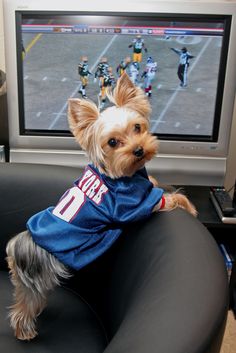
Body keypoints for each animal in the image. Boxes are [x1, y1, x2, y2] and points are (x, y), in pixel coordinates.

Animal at [6, 71, 197, 338]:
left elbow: (151, 182)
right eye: (113, 142)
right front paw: (188, 205)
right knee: (24, 309)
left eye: (137, 127)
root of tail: (19, 245)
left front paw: (153, 179)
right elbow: (166, 199)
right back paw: (25, 332)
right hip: (38, 282)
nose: (139, 150)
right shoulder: (133, 205)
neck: (122, 172)